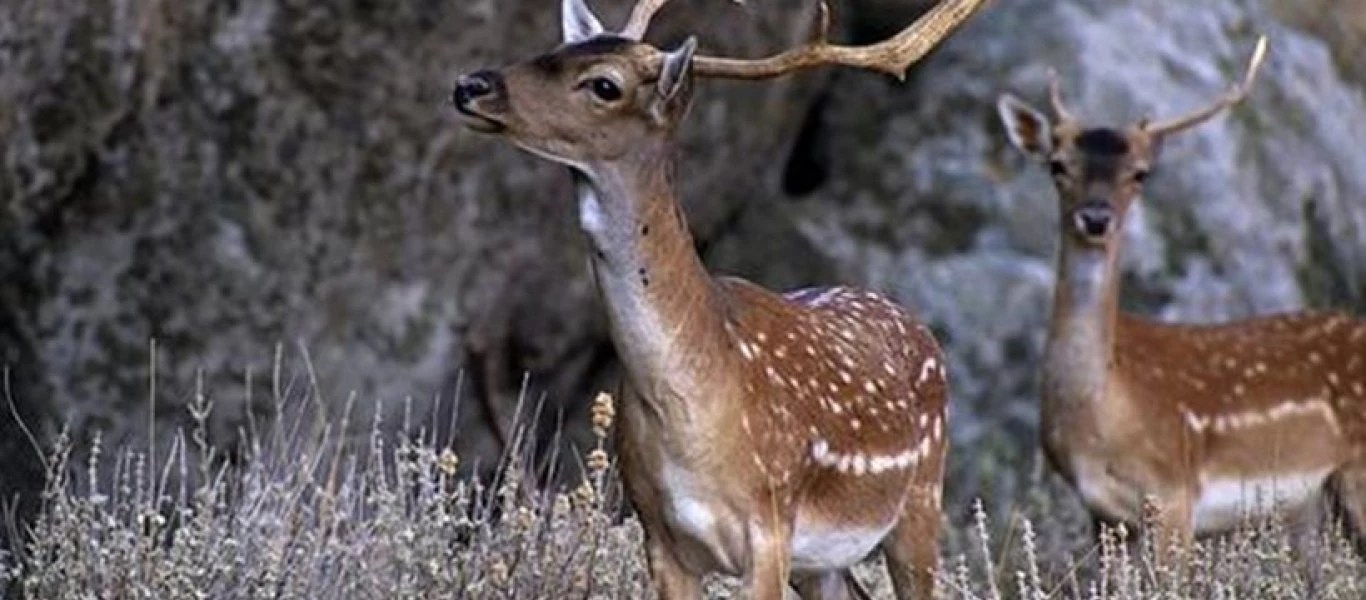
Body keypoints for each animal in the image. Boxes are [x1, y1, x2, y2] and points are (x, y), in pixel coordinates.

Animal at [453, 0, 988, 595]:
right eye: (556, 48)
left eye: (604, 85)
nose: (471, 85)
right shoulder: (658, 531)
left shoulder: (770, 523)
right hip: (824, 561)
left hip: (921, 497)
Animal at [994, 36, 1366, 554]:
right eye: (1056, 165)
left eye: (1140, 173)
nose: (1095, 217)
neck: (1100, 415)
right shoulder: (1101, 514)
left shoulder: (1174, 494)